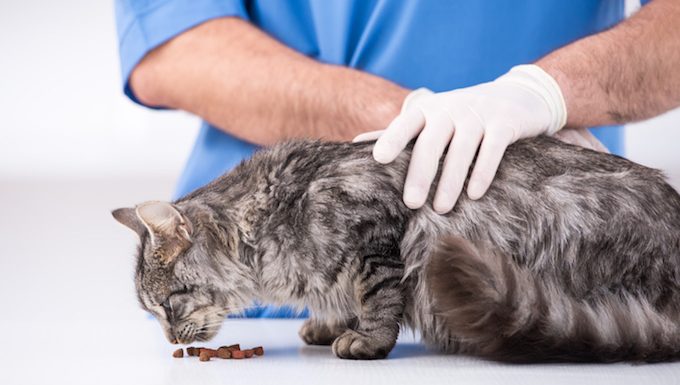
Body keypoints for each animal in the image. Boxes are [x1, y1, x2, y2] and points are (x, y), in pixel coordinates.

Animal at [114, 136, 680, 362]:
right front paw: (326, 324)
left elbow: (377, 301)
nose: (170, 340)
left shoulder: (379, 237)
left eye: (168, 305)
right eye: (153, 313)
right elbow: (338, 297)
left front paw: (365, 341)